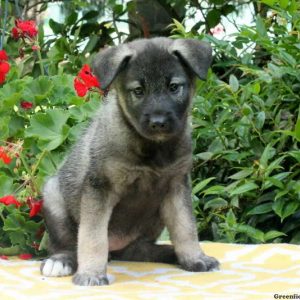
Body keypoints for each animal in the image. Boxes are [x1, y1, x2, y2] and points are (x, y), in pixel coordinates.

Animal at [39, 37, 219, 286]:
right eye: (138, 91)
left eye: (173, 87)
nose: (158, 122)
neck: (152, 149)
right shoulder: (99, 188)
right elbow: (92, 236)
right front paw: (91, 273)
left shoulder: (176, 186)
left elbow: (186, 228)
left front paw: (195, 258)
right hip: (53, 195)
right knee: (66, 243)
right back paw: (60, 260)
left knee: (141, 250)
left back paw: (172, 254)